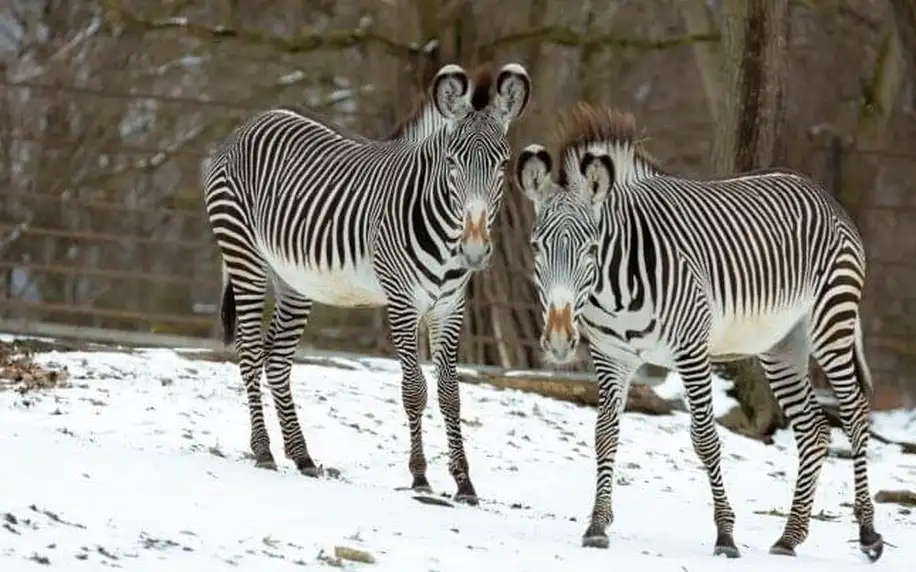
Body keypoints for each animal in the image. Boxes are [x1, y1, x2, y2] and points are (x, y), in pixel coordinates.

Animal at [200, 62, 528, 504]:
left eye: (503, 164)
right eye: (452, 162)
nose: (474, 250)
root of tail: (253, 120)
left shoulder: (449, 307)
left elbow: (450, 394)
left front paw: (464, 483)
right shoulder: (402, 302)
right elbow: (414, 389)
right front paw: (420, 476)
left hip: (294, 280)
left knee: (277, 359)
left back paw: (301, 456)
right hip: (244, 256)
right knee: (250, 352)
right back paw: (264, 450)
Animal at [512, 103, 884, 560]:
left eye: (591, 248)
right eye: (536, 246)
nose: (561, 341)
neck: (613, 286)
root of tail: (822, 194)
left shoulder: (691, 351)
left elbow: (705, 439)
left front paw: (725, 535)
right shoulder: (611, 355)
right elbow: (604, 435)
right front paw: (597, 526)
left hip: (831, 322)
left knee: (855, 414)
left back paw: (868, 533)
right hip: (781, 345)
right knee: (813, 430)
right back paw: (789, 537)